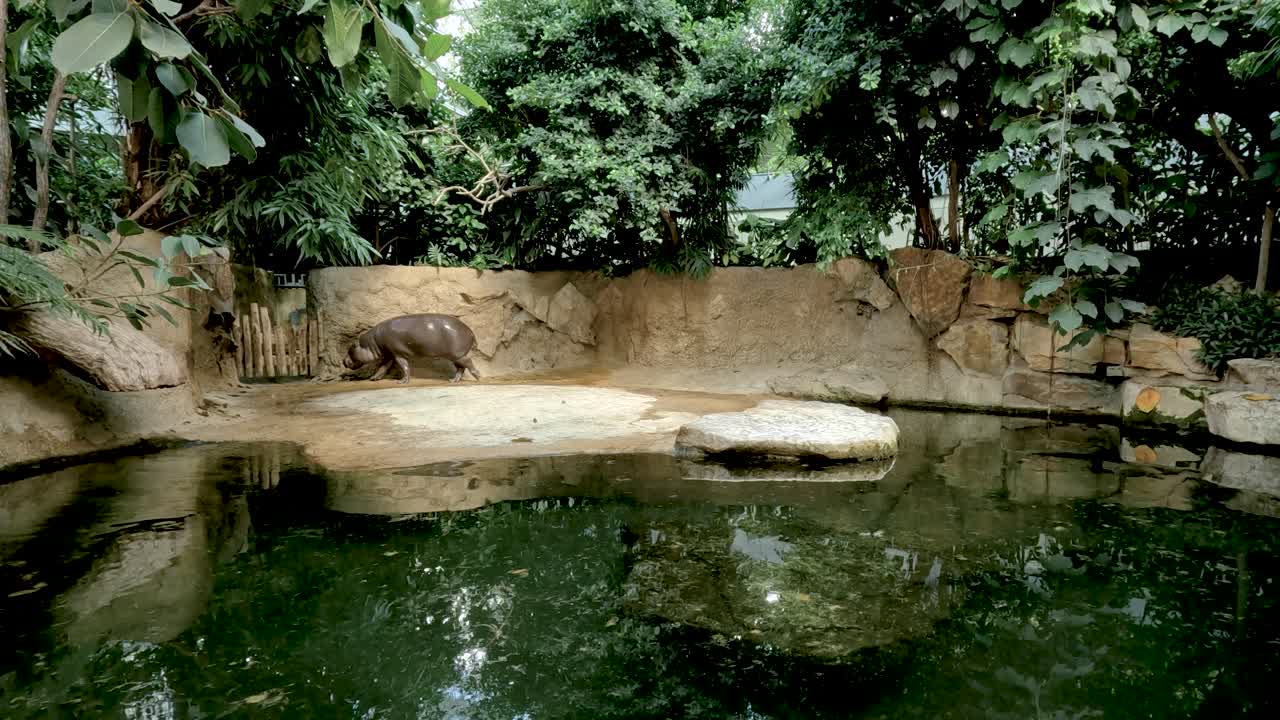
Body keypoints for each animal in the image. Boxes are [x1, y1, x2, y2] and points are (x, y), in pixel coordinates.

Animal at [343, 313, 481, 384]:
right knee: (461, 368)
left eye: (351, 347)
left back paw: (477, 376)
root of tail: (471, 332)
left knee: (468, 362)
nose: (343, 361)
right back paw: (453, 380)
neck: (371, 343)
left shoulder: (397, 353)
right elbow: (383, 367)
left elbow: (404, 366)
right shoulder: (389, 354)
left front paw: (401, 382)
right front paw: (373, 378)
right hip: (454, 356)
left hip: (456, 354)